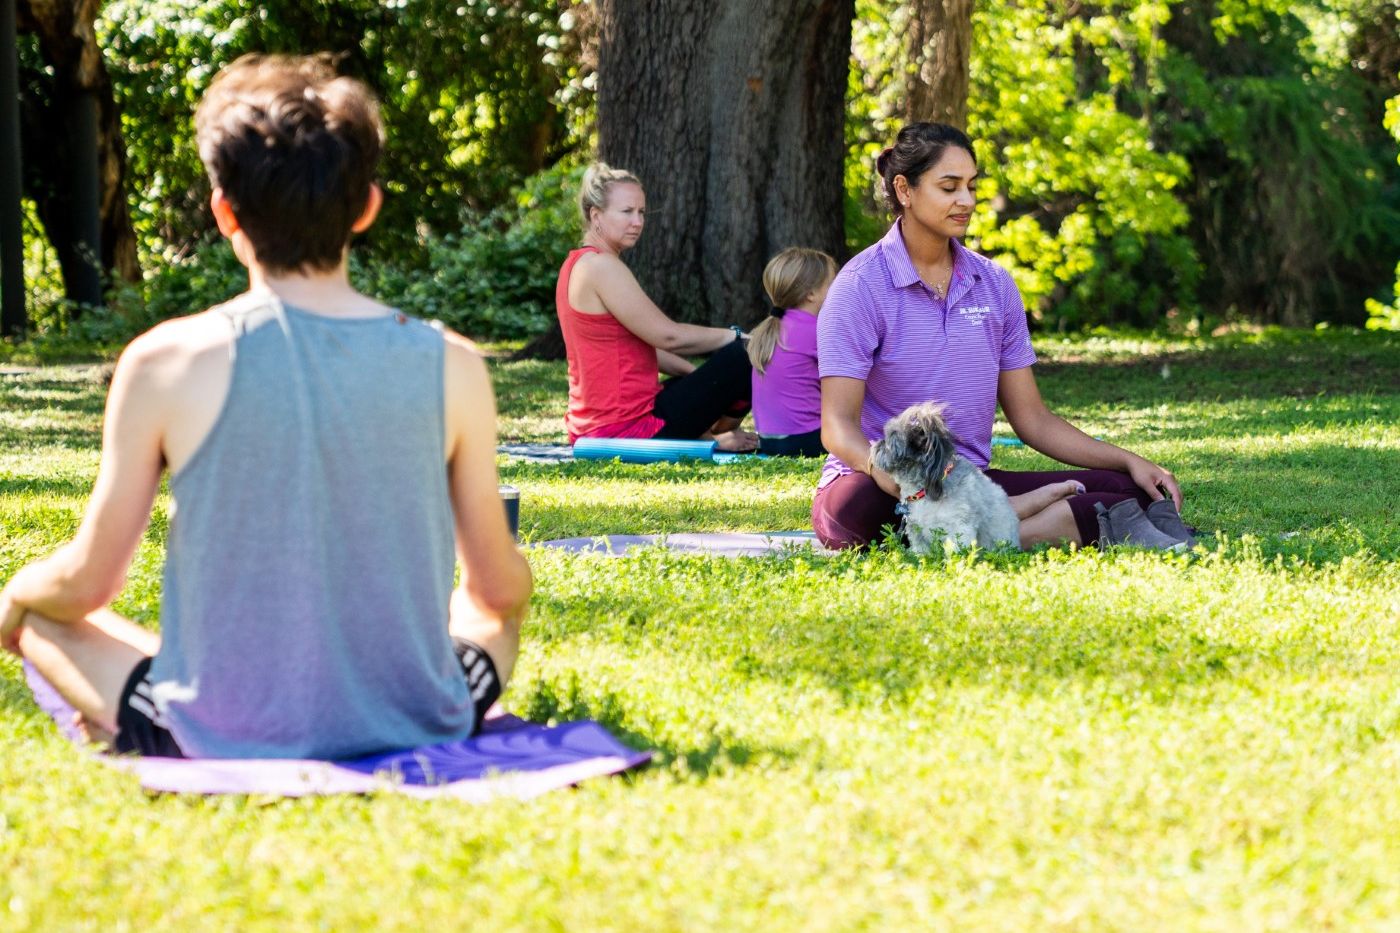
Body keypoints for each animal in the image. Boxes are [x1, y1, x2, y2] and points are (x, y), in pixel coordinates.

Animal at [868, 400, 1024, 549]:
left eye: (888, 441)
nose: (877, 443)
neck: (923, 491)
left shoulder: (959, 528)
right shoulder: (916, 531)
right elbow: (921, 552)